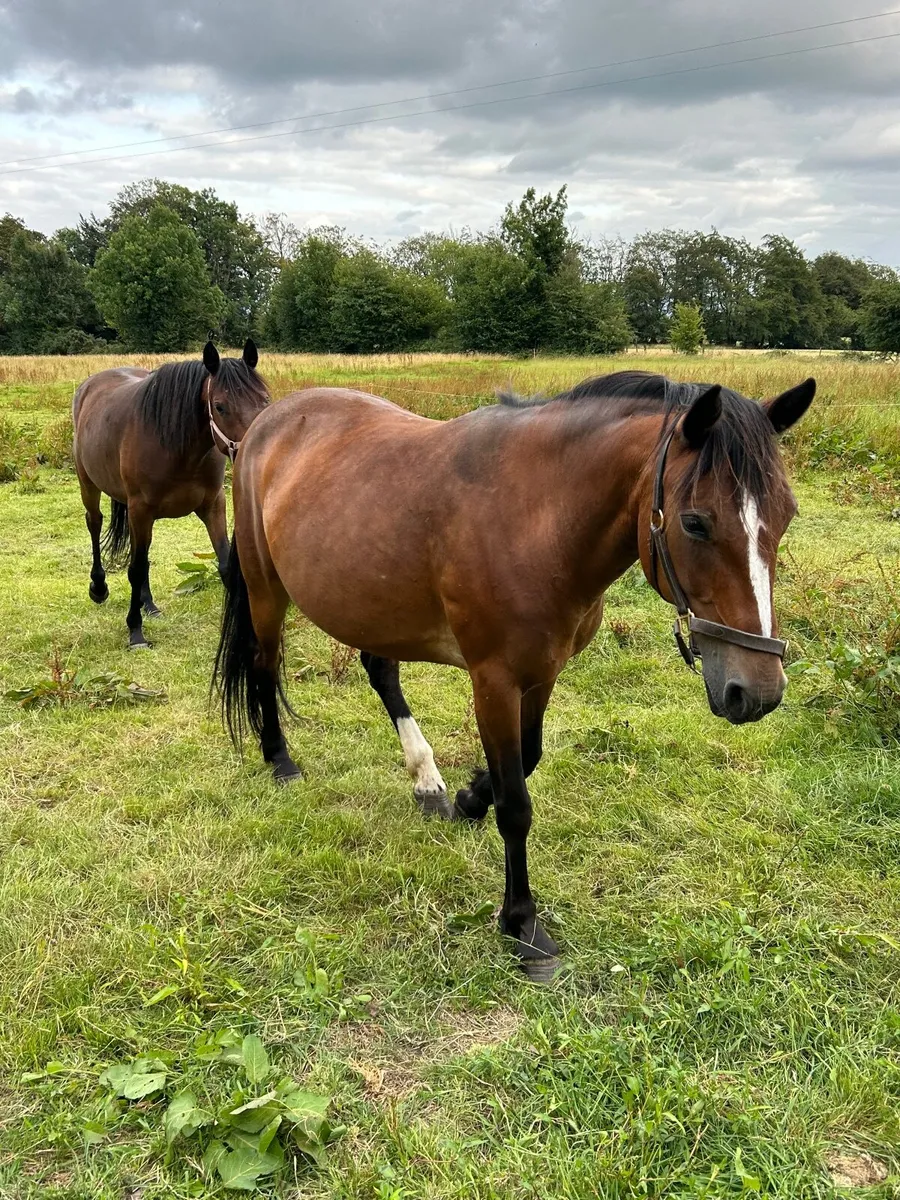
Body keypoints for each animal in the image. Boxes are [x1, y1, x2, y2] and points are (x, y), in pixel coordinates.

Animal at [73, 340, 269, 649]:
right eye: (220, 406)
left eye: (265, 400)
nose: (255, 453)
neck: (179, 447)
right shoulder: (141, 509)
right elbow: (136, 568)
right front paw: (135, 631)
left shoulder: (213, 505)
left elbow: (225, 563)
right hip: (89, 484)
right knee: (95, 523)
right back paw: (99, 587)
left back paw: (149, 604)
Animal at [212, 370, 816, 979]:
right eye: (695, 522)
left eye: (786, 515)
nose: (758, 691)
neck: (535, 519)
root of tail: (264, 425)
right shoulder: (494, 682)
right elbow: (516, 805)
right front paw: (523, 924)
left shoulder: (541, 675)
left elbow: (526, 760)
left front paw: (467, 798)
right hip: (266, 589)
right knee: (264, 664)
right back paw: (280, 760)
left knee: (380, 671)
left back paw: (426, 781)